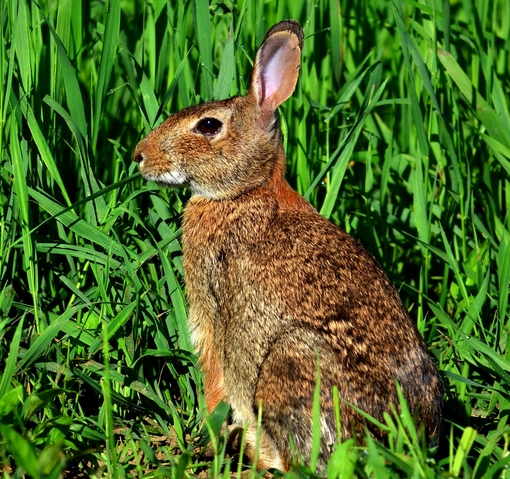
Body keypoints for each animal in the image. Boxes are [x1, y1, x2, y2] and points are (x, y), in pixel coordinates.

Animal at [133, 19, 444, 476]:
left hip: (286, 366)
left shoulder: (211, 312)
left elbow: (214, 374)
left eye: (208, 126)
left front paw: (208, 426)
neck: (245, 192)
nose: (139, 155)